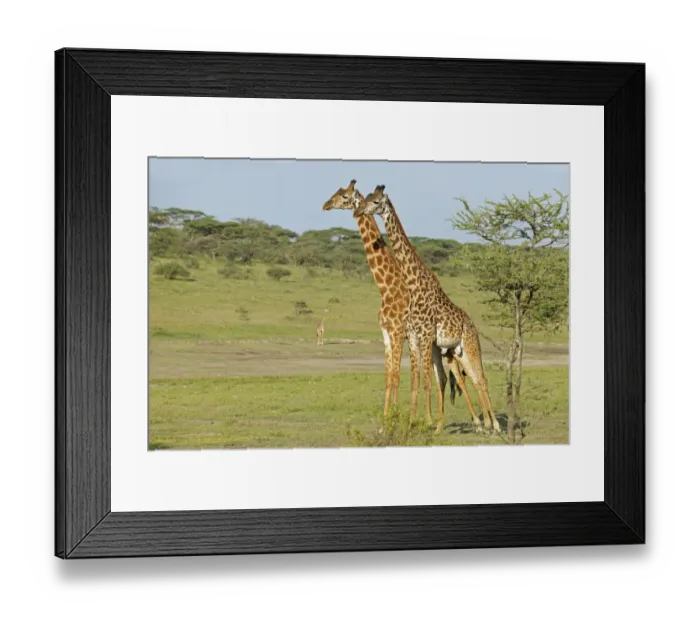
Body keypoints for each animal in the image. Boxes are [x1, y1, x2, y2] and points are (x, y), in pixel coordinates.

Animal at [322, 180, 463, 430]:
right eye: (337, 192)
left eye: (345, 196)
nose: (325, 205)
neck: (387, 288)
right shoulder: (387, 334)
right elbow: (389, 377)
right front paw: (386, 422)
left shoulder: (398, 333)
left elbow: (398, 377)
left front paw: (395, 422)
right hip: (434, 348)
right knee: (443, 377)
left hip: (443, 347)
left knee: (459, 377)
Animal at [355, 185, 500, 434]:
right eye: (367, 198)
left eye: (375, 201)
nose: (358, 211)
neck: (413, 285)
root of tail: (472, 325)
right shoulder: (414, 338)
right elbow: (416, 381)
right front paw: (412, 425)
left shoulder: (424, 337)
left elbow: (426, 381)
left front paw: (420, 423)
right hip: (457, 351)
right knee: (473, 379)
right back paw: (485, 425)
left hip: (470, 347)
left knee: (481, 378)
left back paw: (496, 425)